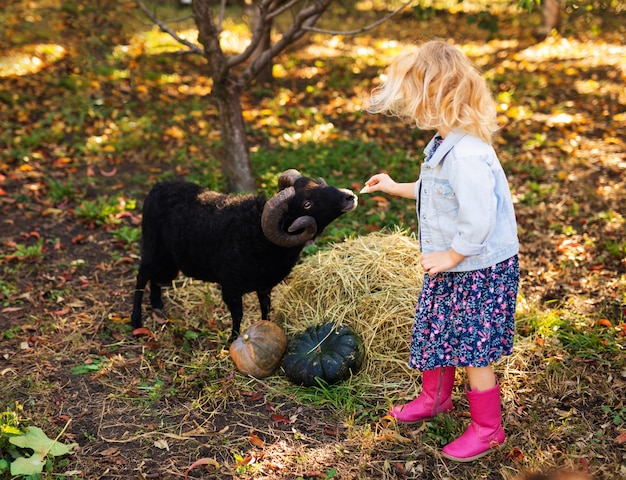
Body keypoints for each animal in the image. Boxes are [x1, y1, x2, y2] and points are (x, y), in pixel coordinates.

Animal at [130, 171, 356, 340]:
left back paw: (158, 307)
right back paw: (136, 321)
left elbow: (266, 308)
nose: (350, 196)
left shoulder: (264, 285)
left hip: (168, 261)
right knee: (141, 278)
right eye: (307, 203)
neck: (256, 234)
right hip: (152, 248)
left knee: (156, 279)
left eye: (317, 184)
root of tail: (157, 187)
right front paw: (232, 340)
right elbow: (238, 315)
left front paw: (268, 327)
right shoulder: (230, 288)